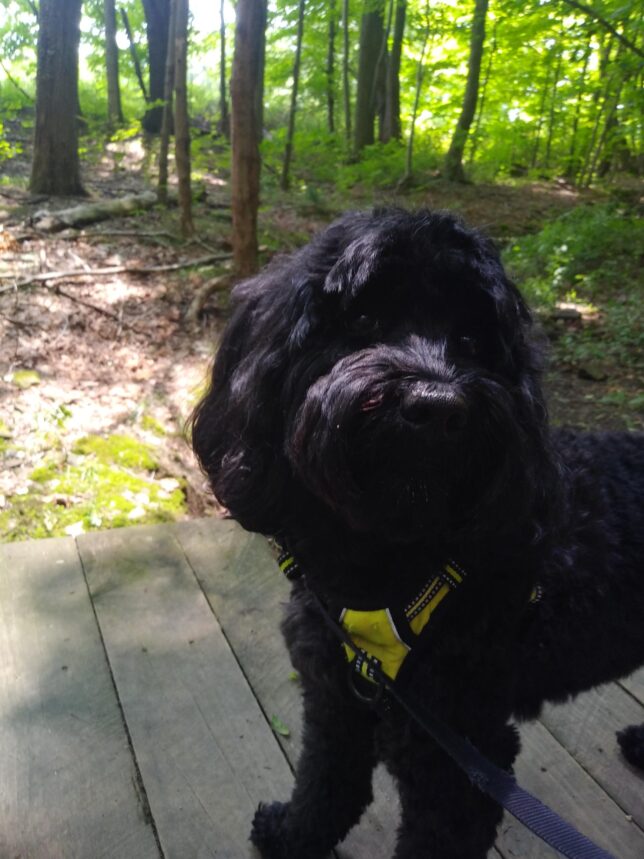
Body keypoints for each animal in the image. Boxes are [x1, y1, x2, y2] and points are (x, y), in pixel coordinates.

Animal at [192, 210, 644, 859]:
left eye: (474, 341)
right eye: (361, 320)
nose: (436, 406)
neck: (385, 562)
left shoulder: (457, 754)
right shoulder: (335, 700)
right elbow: (327, 781)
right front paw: (291, 835)